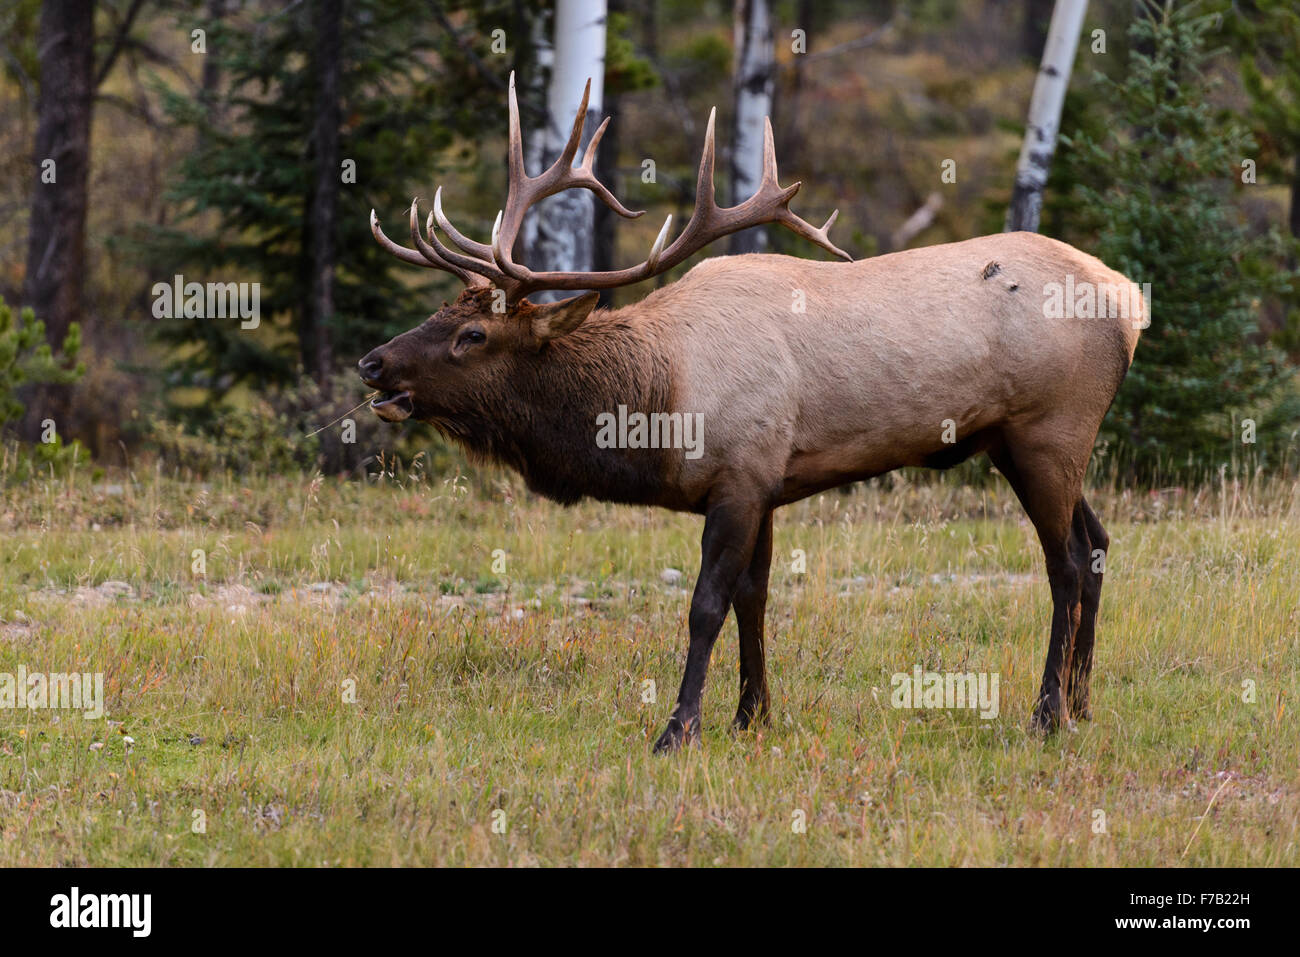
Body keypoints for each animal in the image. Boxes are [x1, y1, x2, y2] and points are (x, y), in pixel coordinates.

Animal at [361, 74, 1144, 748]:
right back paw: (1082, 702)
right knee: (1097, 543)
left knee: (1065, 563)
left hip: (1050, 427)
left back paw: (1046, 713)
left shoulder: (738, 476)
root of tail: (1129, 300)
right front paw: (751, 716)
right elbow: (754, 599)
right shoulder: (766, 481)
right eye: (442, 311)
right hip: (1017, 442)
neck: (658, 401)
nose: (373, 362)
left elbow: (706, 604)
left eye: (473, 335)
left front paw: (679, 729)